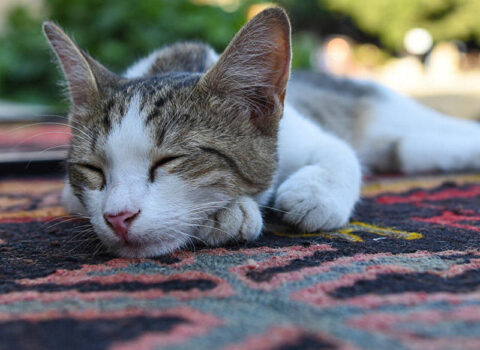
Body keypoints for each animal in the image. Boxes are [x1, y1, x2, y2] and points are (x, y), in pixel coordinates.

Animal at [42, 7, 480, 258]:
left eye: (170, 161)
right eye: (93, 170)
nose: (117, 217)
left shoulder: (303, 132)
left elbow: (339, 152)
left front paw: (313, 195)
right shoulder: (69, 192)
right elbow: (74, 197)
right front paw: (228, 214)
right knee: (410, 148)